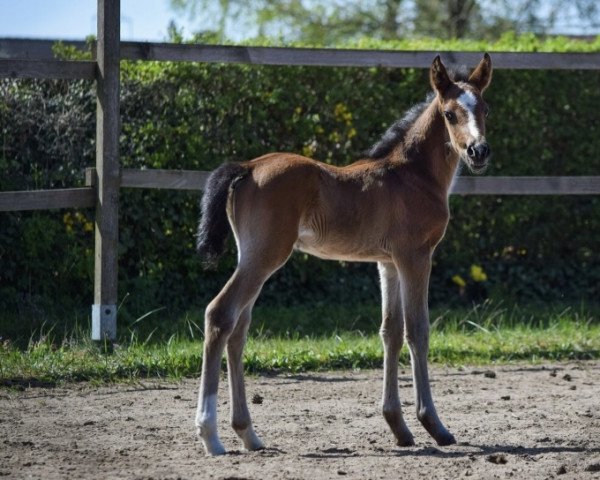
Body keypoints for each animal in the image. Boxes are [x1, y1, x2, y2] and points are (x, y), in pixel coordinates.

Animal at [196, 54, 492, 456]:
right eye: (449, 113)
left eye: (485, 109)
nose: (479, 151)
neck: (413, 176)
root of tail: (247, 167)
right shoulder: (416, 257)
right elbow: (418, 330)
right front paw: (434, 426)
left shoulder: (388, 263)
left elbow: (390, 331)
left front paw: (399, 427)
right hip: (265, 256)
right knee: (219, 314)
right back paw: (210, 434)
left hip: (252, 257)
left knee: (238, 329)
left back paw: (249, 434)